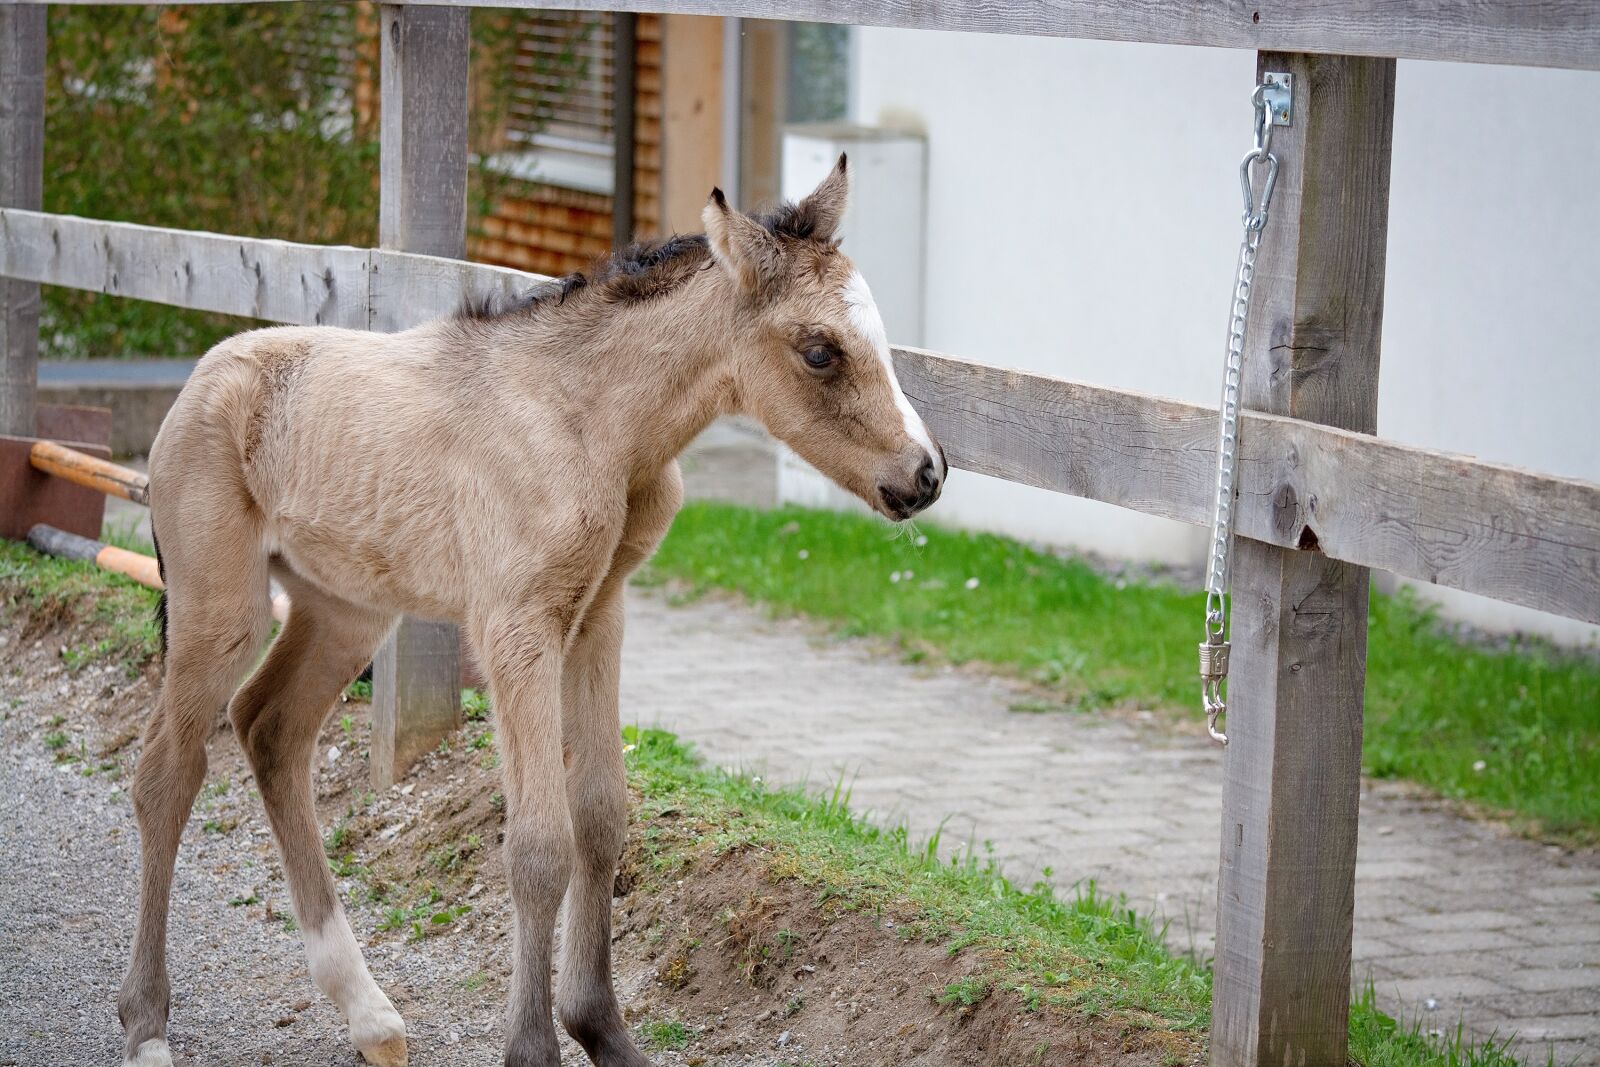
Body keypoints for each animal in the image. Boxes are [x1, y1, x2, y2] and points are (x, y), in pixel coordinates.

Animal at [117, 156, 945, 1067]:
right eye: (819, 350)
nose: (926, 474)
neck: (590, 424)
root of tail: (200, 376)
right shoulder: (517, 627)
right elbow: (540, 845)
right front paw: (535, 1047)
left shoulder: (599, 615)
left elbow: (602, 817)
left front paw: (603, 1029)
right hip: (220, 603)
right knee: (166, 772)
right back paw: (147, 1024)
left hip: (345, 607)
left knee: (270, 729)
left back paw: (368, 1012)